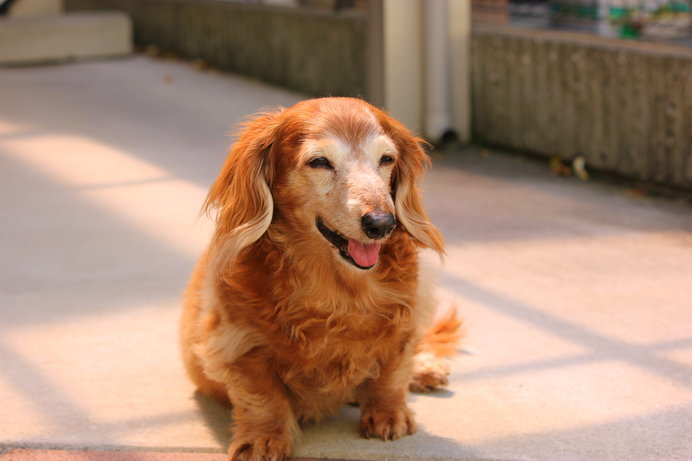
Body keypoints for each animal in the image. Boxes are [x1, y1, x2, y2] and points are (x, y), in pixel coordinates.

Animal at [180, 97, 460, 460]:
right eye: (319, 162)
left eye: (387, 159)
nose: (383, 223)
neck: (339, 290)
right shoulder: (238, 342)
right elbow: (261, 396)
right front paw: (264, 439)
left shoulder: (406, 318)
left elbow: (393, 370)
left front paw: (388, 413)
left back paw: (425, 368)